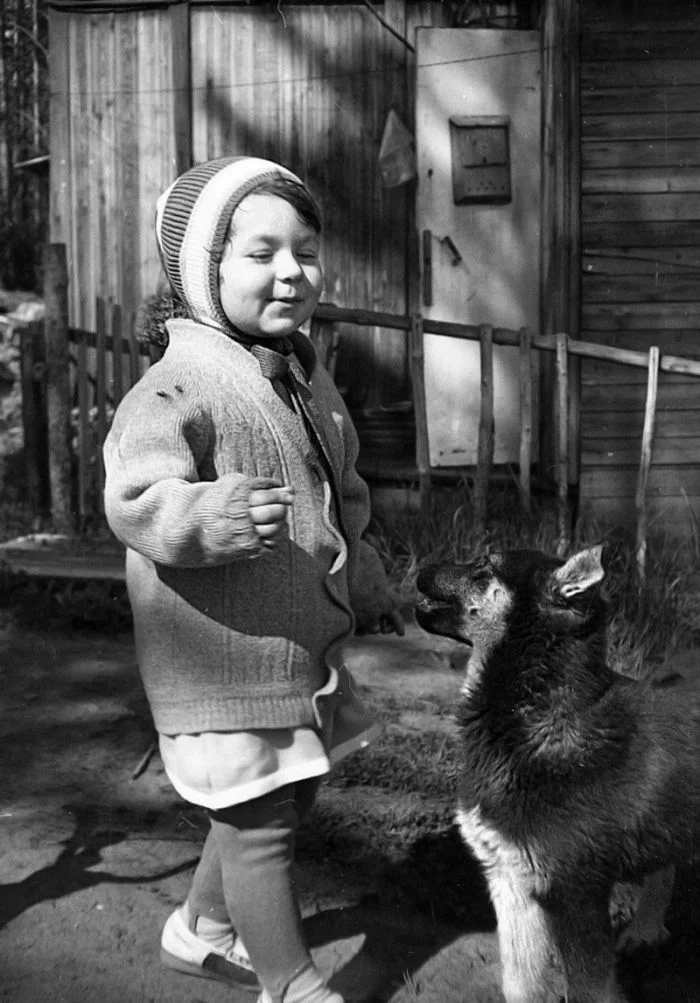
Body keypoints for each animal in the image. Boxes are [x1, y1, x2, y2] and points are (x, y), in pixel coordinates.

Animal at [415, 545, 693, 1003]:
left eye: (485, 565)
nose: (419, 566)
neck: (539, 716)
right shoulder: (511, 882)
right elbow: (518, 984)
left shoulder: (575, 896)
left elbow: (588, 990)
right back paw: (646, 929)